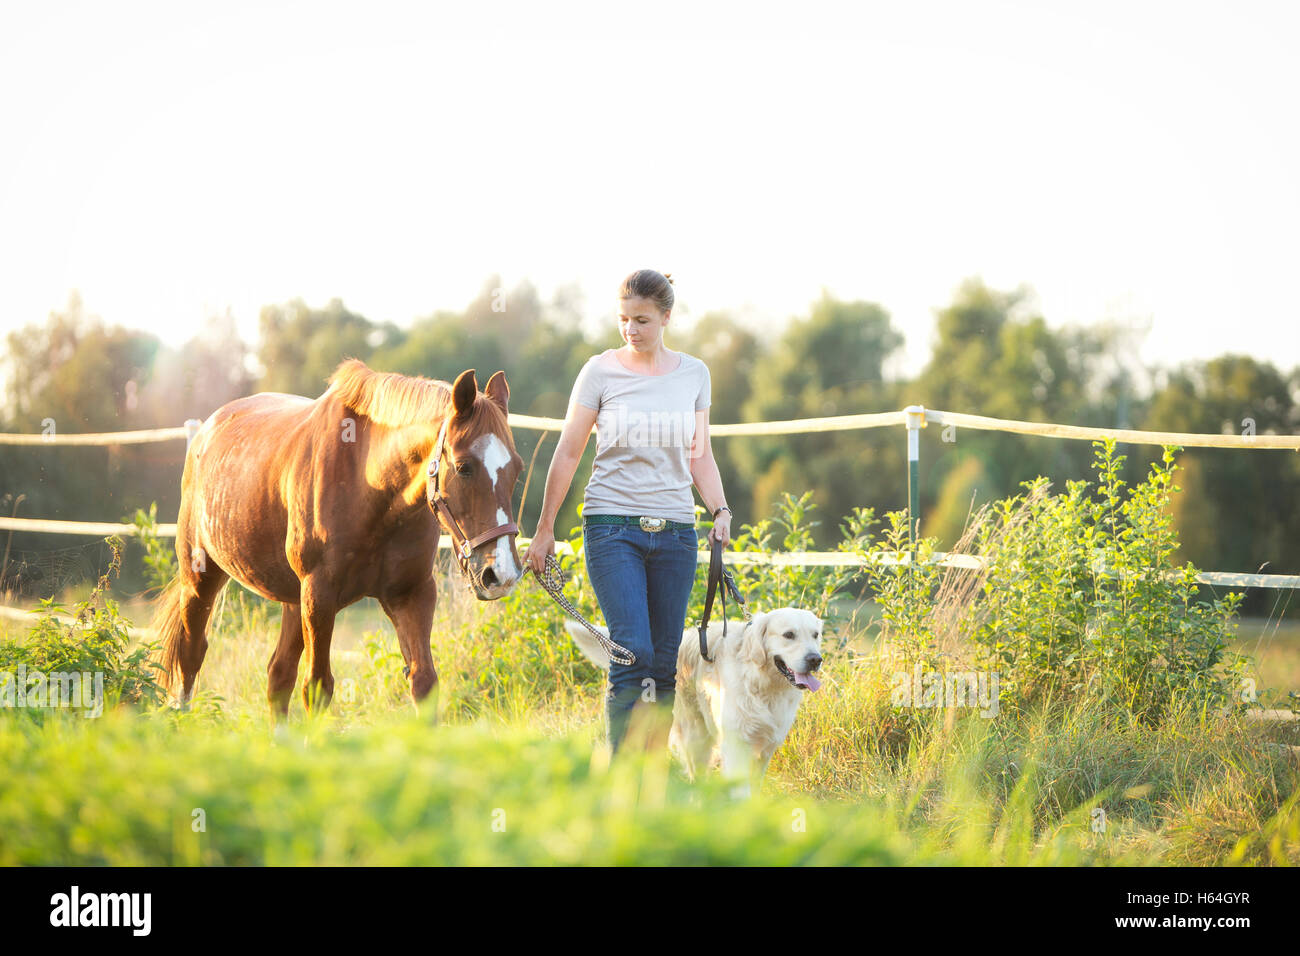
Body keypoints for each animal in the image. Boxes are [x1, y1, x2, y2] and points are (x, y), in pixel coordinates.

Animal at [156, 361, 527, 717]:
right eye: (464, 467)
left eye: (517, 469)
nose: (502, 574)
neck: (369, 483)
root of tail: (205, 433)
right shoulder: (320, 596)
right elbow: (318, 687)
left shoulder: (411, 594)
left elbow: (424, 683)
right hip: (201, 581)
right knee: (190, 656)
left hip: (294, 600)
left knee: (279, 675)